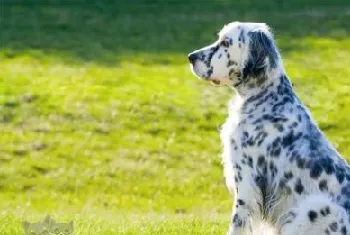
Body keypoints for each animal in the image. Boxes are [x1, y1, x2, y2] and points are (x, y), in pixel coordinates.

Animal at [190, 21, 350, 234]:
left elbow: (237, 223)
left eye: (225, 42)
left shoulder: (247, 182)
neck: (266, 99)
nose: (190, 57)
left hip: (318, 208)